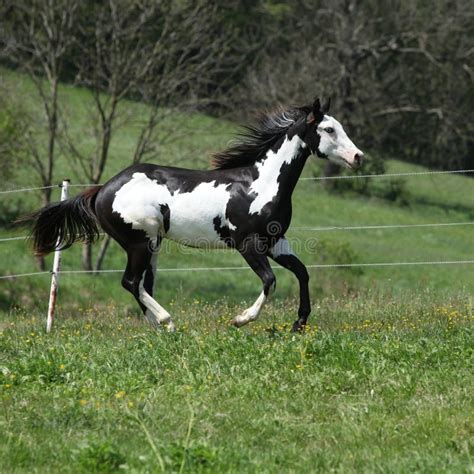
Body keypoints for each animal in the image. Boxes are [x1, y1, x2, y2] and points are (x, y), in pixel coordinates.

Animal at [24, 96, 362, 334]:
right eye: (329, 129)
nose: (358, 157)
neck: (261, 183)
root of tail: (103, 190)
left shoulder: (275, 242)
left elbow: (302, 273)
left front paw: (299, 323)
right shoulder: (248, 244)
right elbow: (270, 280)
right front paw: (241, 319)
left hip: (153, 245)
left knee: (142, 285)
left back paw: (158, 326)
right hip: (139, 243)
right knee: (131, 282)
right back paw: (168, 322)